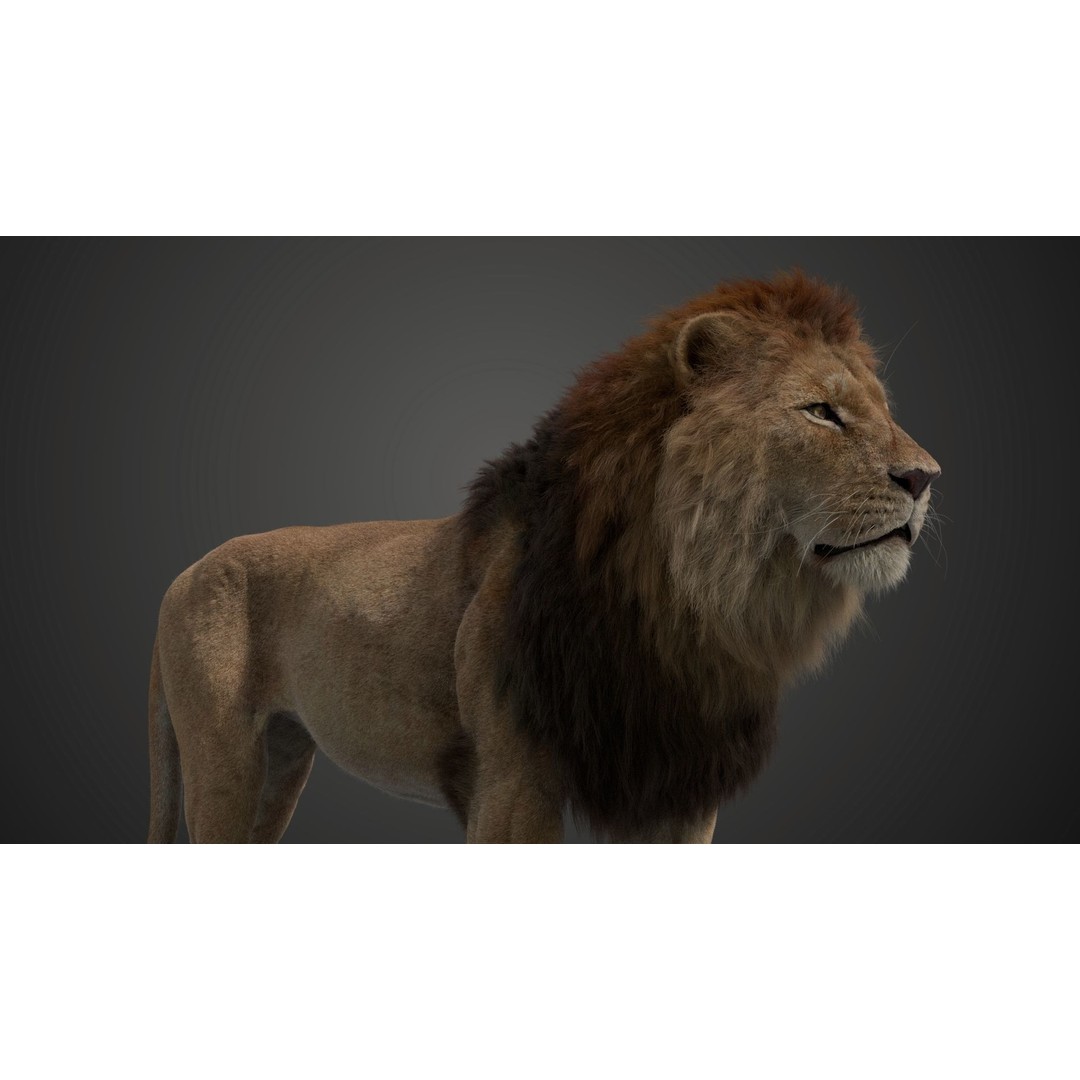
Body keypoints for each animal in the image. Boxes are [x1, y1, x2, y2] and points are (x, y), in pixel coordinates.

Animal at [147, 271, 940, 843]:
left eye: (883, 409)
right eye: (822, 412)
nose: (926, 477)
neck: (682, 602)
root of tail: (180, 574)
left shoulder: (674, 784)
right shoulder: (513, 779)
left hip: (281, 761)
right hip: (224, 758)